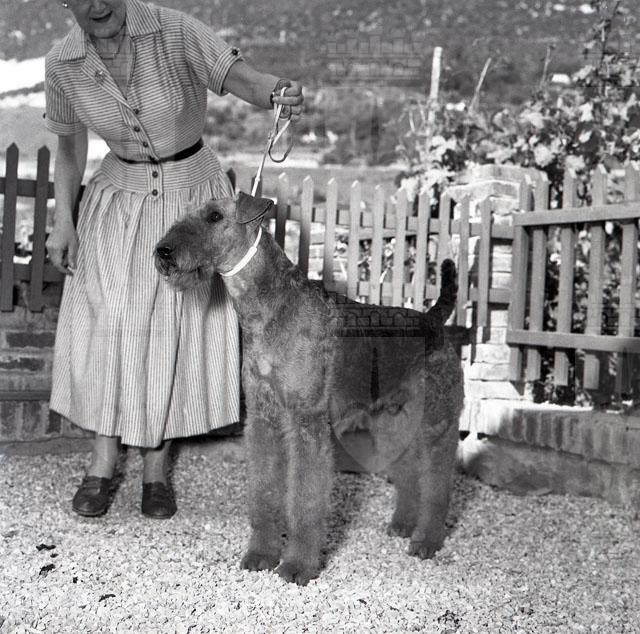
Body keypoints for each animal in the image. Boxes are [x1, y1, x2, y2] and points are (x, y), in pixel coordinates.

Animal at [154, 192, 465, 585]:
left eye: (214, 216)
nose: (163, 251)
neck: (269, 310)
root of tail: (432, 320)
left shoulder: (308, 423)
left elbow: (304, 501)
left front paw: (297, 566)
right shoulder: (263, 420)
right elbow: (265, 491)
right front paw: (261, 555)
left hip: (437, 422)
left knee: (438, 482)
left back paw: (426, 540)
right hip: (392, 420)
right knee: (408, 472)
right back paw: (402, 525)